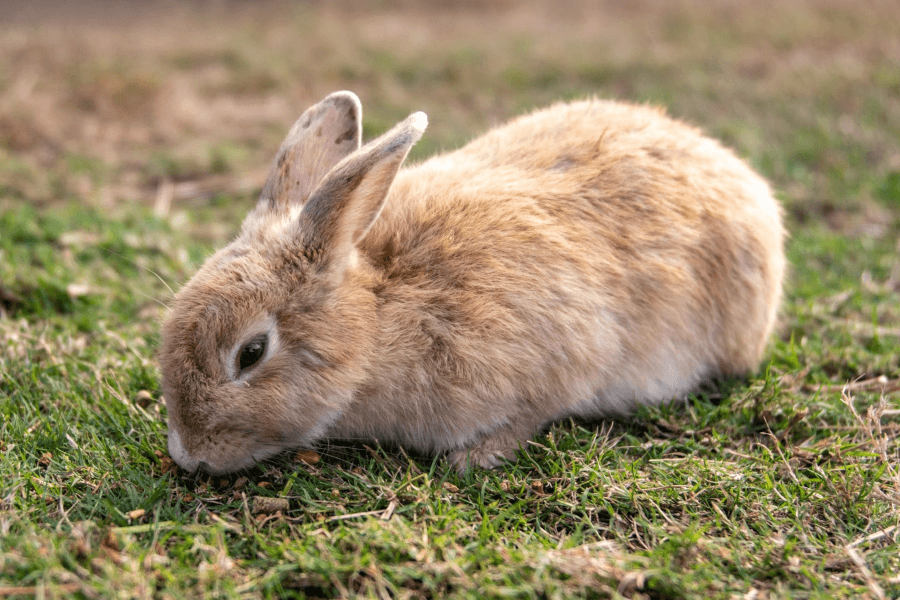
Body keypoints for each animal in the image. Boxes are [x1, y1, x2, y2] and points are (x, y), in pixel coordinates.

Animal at [159, 91, 785, 475]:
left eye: (252, 352)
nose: (189, 455)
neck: (378, 317)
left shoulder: (557, 363)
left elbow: (535, 412)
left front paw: (473, 458)